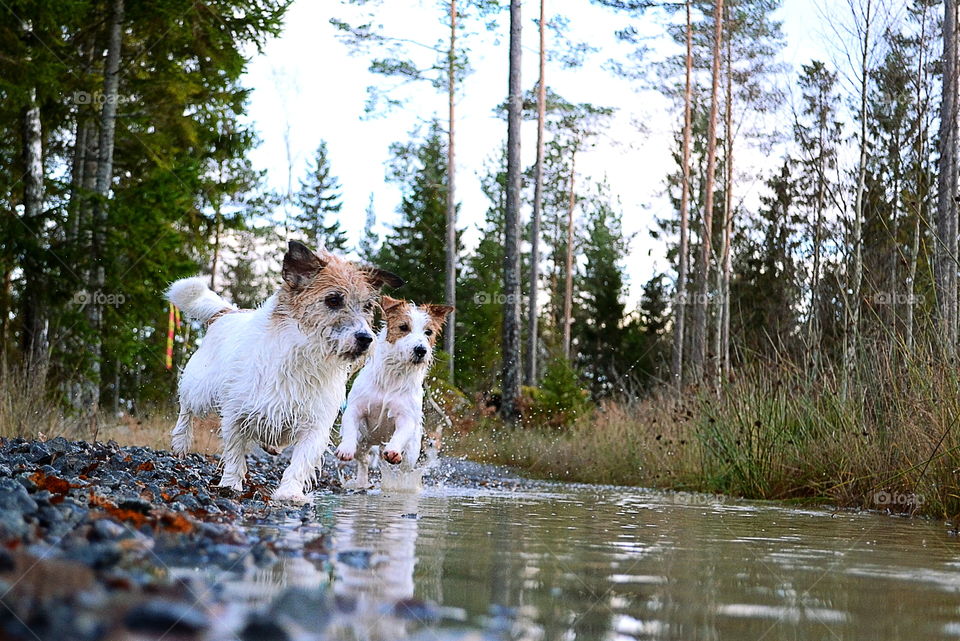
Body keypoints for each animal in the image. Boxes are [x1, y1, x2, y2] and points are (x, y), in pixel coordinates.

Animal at [165, 240, 402, 500]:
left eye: (368, 306)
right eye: (333, 300)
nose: (366, 338)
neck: (305, 355)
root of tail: (227, 313)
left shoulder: (315, 424)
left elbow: (301, 461)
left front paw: (289, 493)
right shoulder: (237, 415)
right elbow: (235, 453)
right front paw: (231, 484)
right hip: (200, 389)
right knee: (186, 407)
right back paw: (180, 441)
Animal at [334, 296, 454, 484]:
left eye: (428, 332)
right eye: (403, 327)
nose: (421, 350)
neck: (392, 378)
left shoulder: (406, 416)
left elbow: (401, 433)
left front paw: (393, 451)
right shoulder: (355, 408)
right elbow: (350, 425)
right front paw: (345, 448)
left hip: (411, 452)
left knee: (404, 469)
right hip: (363, 442)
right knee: (363, 461)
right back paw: (360, 481)